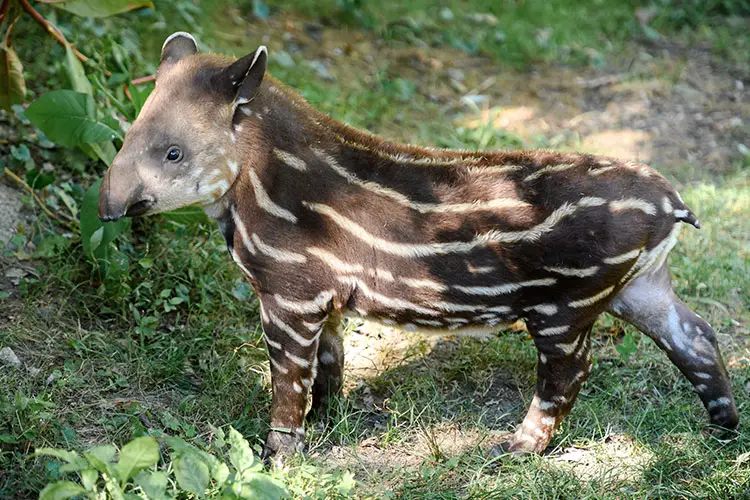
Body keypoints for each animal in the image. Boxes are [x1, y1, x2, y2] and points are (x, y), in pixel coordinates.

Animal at [98, 31, 740, 458]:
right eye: (127, 134)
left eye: (173, 152)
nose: (107, 207)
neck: (261, 175)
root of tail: (669, 203)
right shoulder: (324, 296)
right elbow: (330, 363)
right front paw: (328, 423)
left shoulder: (289, 292)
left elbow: (288, 377)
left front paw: (279, 454)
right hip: (637, 283)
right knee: (695, 336)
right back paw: (724, 428)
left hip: (568, 300)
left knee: (570, 369)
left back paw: (515, 448)